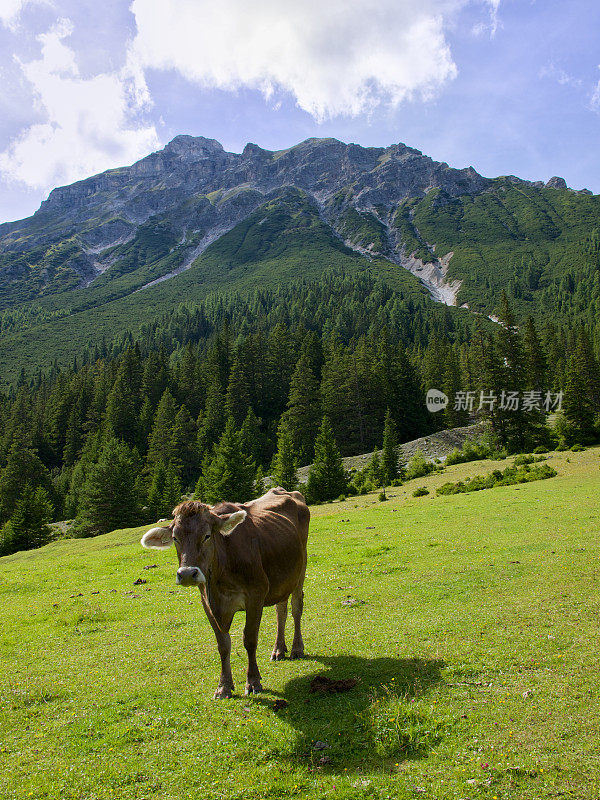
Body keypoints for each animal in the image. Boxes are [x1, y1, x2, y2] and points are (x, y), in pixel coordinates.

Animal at [141, 484, 310, 696]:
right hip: (283, 576)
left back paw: (297, 648)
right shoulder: (207, 602)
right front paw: (224, 686)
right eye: (175, 538)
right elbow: (222, 643)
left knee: (296, 607)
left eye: (207, 535)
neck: (221, 578)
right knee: (281, 610)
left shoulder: (256, 594)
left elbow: (249, 639)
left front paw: (253, 681)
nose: (187, 574)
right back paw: (278, 649)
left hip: (300, 570)